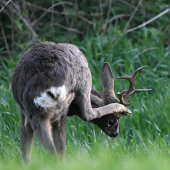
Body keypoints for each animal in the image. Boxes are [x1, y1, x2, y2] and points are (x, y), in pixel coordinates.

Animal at [11, 41, 151, 162]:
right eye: (112, 121)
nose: (115, 133)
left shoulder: (22, 111)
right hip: (81, 81)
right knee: (87, 114)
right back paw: (122, 108)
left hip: (33, 112)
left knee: (32, 149)